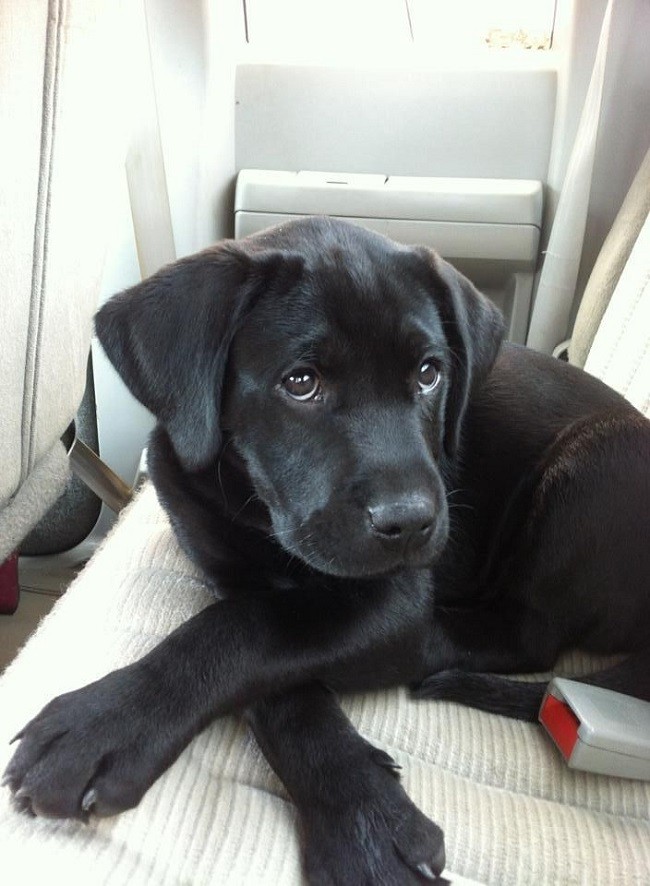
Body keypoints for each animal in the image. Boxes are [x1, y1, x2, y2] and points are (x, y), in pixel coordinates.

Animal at [6, 217, 648, 886]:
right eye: (301, 383)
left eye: (429, 374)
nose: (411, 523)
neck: (255, 511)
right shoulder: (225, 569)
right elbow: (270, 660)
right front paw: (364, 821)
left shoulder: (390, 592)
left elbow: (244, 630)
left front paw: (104, 722)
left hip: (592, 464)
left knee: (530, 636)